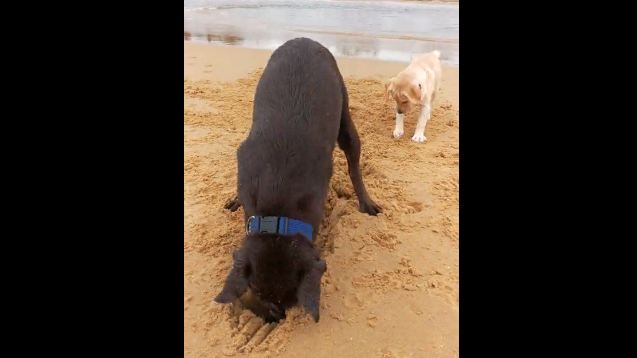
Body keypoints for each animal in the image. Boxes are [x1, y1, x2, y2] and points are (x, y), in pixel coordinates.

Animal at [214, 37, 382, 324]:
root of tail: (304, 39)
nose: (278, 317)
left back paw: (366, 202)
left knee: (354, 163)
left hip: (345, 117)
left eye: (290, 298)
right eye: (258, 291)